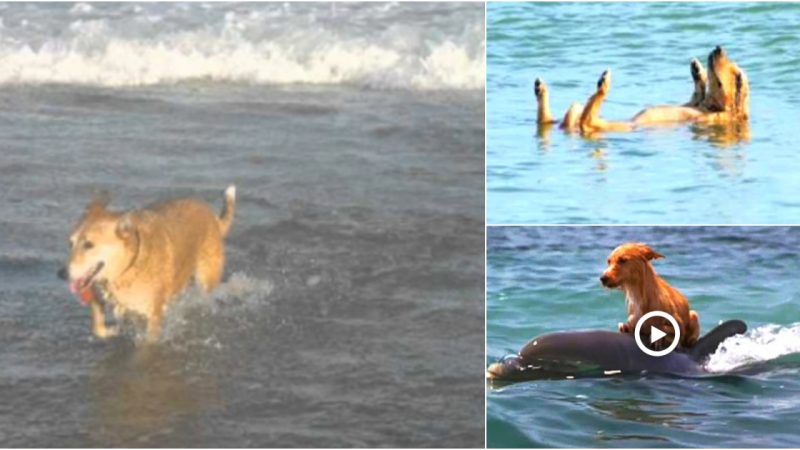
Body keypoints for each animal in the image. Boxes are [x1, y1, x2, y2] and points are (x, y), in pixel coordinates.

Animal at [59, 185, 236, 342]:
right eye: (70, 243)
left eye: (89, 245)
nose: (61, 274)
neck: (128, 267)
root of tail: (213, 218)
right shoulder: (98, 295)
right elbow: (97, 328)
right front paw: (113, 331)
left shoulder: (152, 317)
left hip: (206, 279)